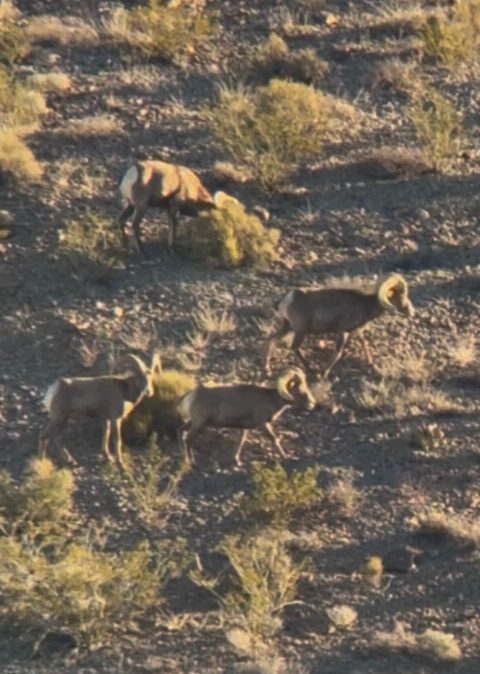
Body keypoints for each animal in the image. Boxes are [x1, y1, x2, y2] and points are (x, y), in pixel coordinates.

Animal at [176, 368, 316, 466]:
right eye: (300, 391)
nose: (312, 404)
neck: (270, 400)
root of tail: (191, 396)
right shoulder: (263, 424)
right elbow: (274, 439)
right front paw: (285, 457)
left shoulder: (245, 429)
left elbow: (241, 442)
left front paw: (237, 461)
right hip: (199, 424)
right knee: (188, 440)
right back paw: (191, 462)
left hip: (193, 423)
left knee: (181, 433)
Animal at [265, 274, 415, 378]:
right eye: (402, 296)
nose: (411, 312)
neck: (365, 304)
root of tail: (287, 299)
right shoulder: (343, 332)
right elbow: (338, 353)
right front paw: (324, 374)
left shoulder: (355, 331)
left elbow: (363, 343)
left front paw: (371, 364)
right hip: (300, 331)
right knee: (294, 347)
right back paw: (311, 369)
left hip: (287, 327)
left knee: (271, 339)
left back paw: (267, 369)